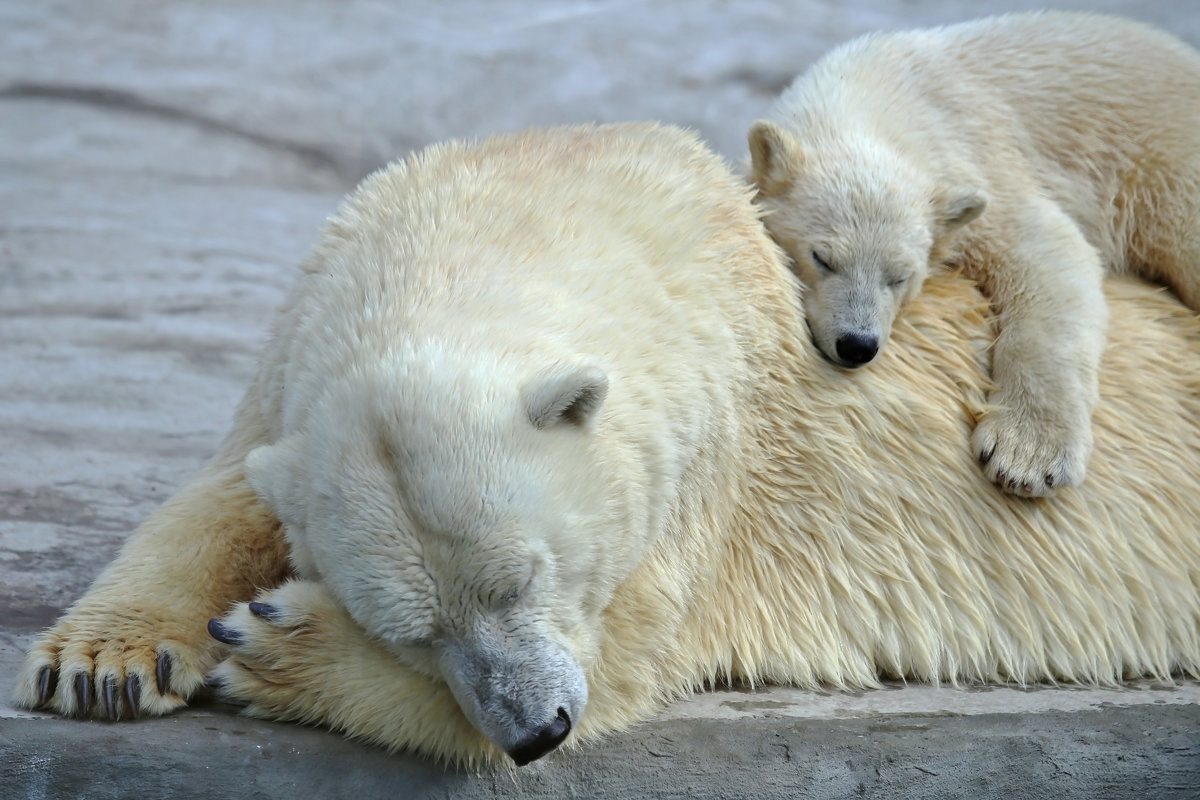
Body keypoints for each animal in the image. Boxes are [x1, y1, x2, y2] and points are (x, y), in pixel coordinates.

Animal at [11, 122, 1200, 767]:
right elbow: (226, 488)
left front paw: (272, 640)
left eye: (521, 578)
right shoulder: (303, 340)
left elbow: (628, 652)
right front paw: (101, 664)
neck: (537, 198)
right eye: (410, 626)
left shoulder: (716, 463)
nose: (535, 727)